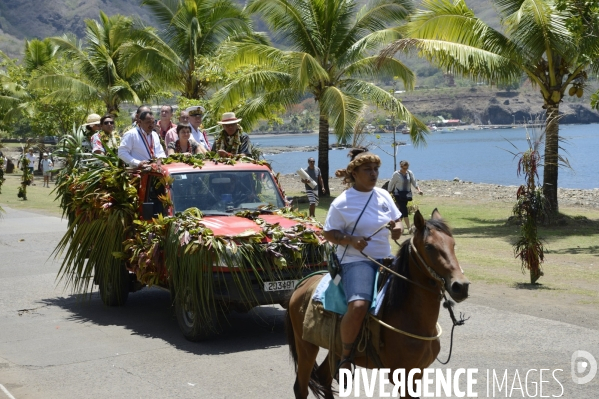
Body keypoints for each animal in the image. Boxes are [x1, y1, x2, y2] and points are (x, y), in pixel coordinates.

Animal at [284, 211, 468, 398]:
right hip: (306, 347)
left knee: (323, 379)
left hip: (333, 348)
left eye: (453, 244)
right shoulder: (403, 378)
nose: (460, 286)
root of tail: (302, 284)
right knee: (301, 388)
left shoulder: (417, 374)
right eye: (429, 246)